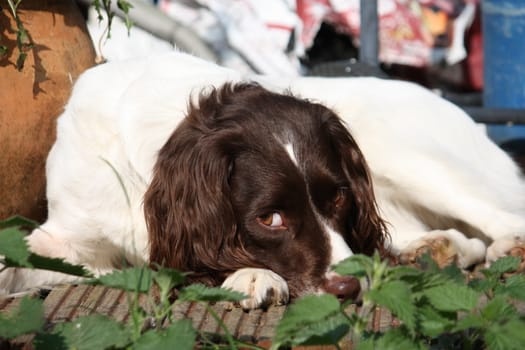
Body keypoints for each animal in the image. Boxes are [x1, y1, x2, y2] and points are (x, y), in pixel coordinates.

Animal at [1, 52, 524, 308]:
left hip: (410, 153)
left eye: (339, 197)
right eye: (270, 217)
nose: (348, 289)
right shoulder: (68, 236)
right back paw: (434, 248)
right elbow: (19, 259)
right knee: (455, 235)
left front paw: (250, 273)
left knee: (503, 219)